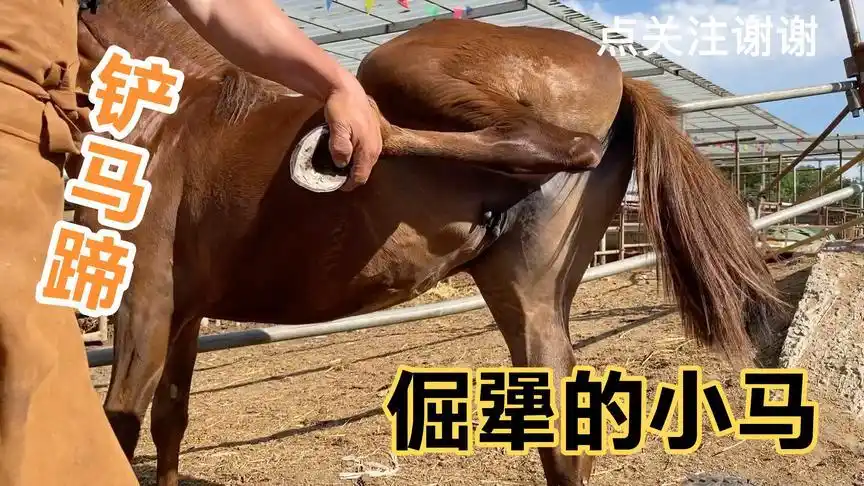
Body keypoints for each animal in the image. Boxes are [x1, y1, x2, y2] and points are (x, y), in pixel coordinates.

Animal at [74, 1, 784, 485]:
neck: (168, 116)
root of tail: (619, 78)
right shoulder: (187, 310)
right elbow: (169, 420)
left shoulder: (145, 300)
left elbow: (120, 421)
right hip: (532, 297)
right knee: (564, 443)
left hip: (397, 66)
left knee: (541, 141)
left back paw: (352, 137)